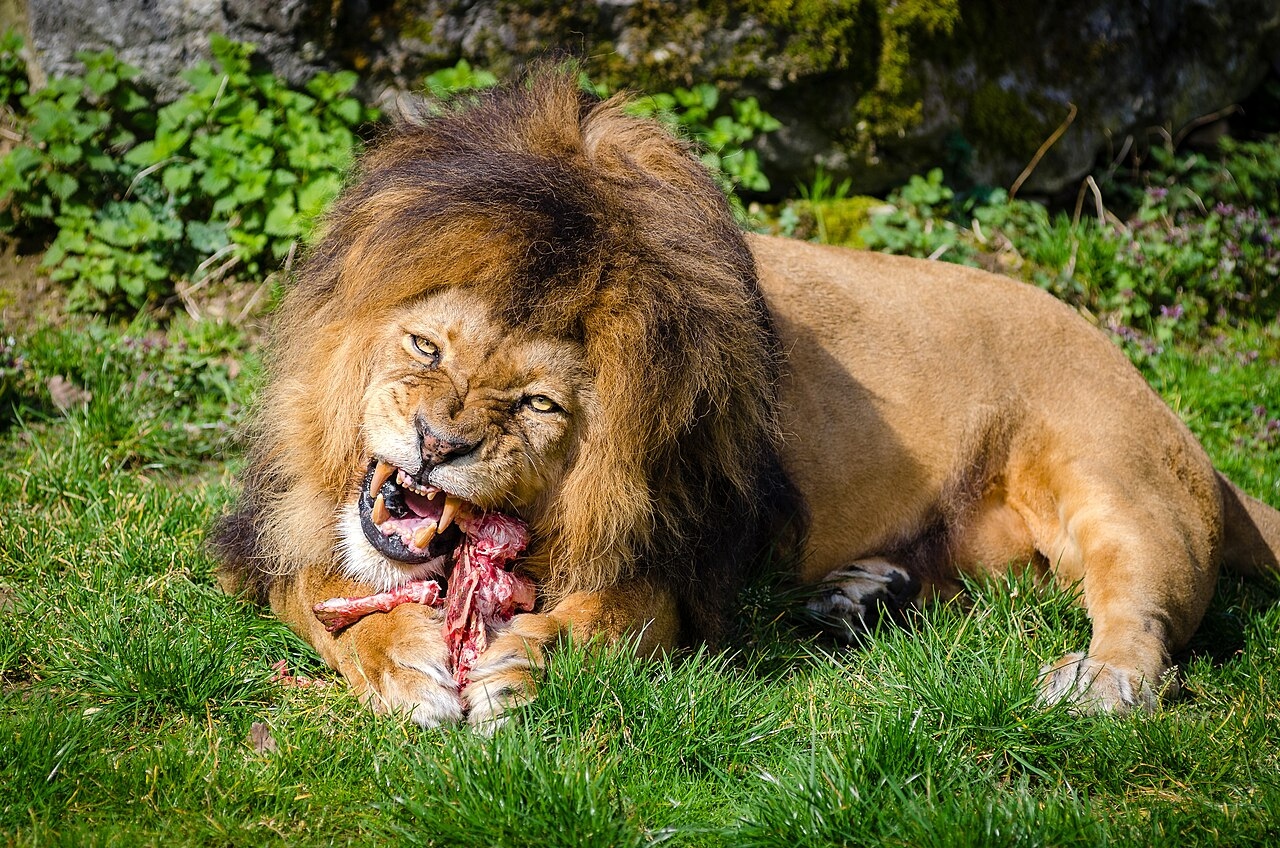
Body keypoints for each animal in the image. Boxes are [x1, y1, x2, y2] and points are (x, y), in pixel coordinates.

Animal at [213, 70, 1280, 728]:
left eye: (539, 406)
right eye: (425, 345)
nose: (437, 444)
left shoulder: (677, 566)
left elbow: (606, 620)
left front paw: (524, 663)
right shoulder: (271, 535)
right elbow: (326, 599)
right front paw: (405, 663)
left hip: (1116, 482)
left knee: (1143, 615)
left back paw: (1096, 683)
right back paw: (859, 595)